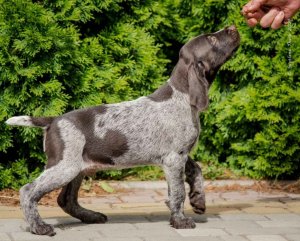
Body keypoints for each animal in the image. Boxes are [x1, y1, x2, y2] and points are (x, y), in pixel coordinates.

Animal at [5, 25, 240, 235]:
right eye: (212, 39)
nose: (233, 27)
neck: (181, 95)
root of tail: (54, 120)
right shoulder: (174, 158)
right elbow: (177, 193)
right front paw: (180, 221)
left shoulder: (180, 154)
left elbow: (197, 171)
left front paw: (198, 199)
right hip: (65, 166)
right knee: (28, 191)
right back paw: (39, 227)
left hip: (78, 167)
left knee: (66, 200)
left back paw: (91, 216)